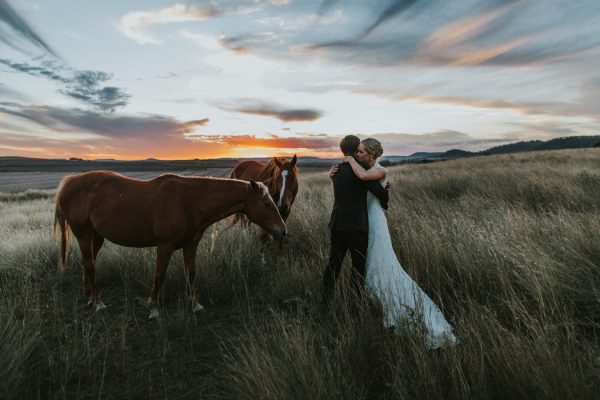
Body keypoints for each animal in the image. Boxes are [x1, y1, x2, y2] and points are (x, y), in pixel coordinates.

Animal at [53, 171, 284, 318]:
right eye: (266, 203)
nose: (282, 231)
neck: (190, 201)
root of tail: (69, 182)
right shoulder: (165, 246)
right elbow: (159, 275)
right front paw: (153, 308)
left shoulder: (190, 245)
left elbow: (191, 274)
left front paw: (195, 306)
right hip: (83, 234)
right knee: (90, 265)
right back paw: (99, 304)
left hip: (97, 236)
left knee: (88, 263)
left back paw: (90, 297)